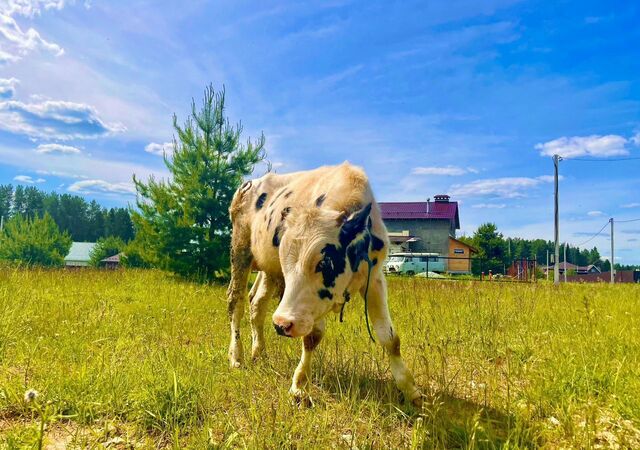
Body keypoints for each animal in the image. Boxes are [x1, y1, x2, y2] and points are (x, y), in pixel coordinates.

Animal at [228, 161, 422, 404]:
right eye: (287, 263)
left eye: (325, 262)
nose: (282, 324)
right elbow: (312, 336)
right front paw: (300, 386)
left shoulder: (375, 279)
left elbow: (389, 338)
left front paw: (410, 389)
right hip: (240, 250)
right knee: (236, 303)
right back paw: (236, 356)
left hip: (268, 269)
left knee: (257, 304)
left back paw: (259, 353)